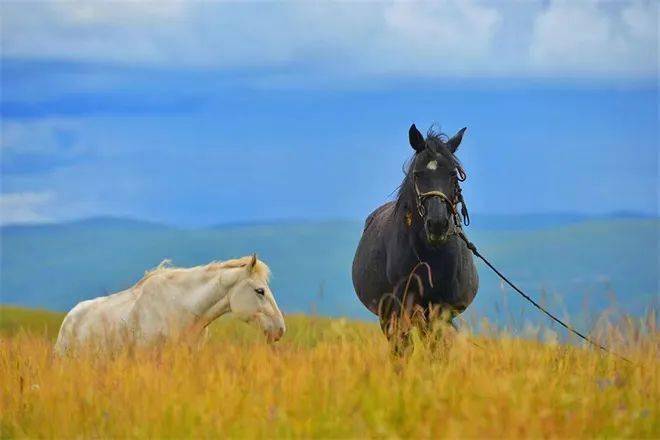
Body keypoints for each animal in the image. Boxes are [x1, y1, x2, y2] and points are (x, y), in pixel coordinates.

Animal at [354, 124, 476, 350]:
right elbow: (404, 346)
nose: (437, 224)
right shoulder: (401, 306)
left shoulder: (441, 309)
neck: (430, 253)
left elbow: (437, 347)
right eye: (418, 175)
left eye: (453, 174)